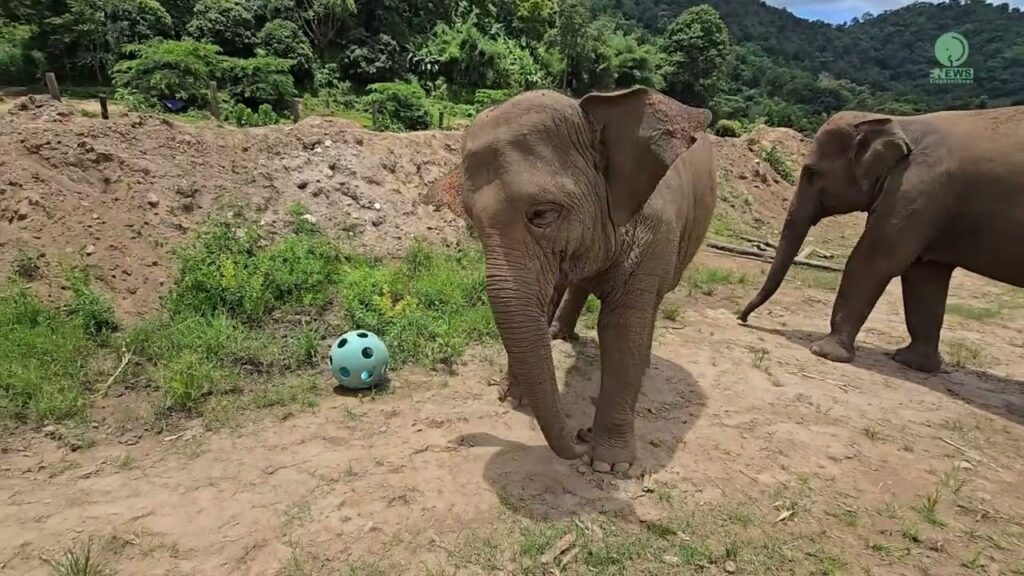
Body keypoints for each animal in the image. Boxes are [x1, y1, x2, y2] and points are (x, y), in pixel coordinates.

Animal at [427, 87, 717, 472]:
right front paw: (512, 397)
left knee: (652, 305)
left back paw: (643, 367)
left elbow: (621, 328)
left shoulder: (656, 233)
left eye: (542, 214)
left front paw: (609, 465)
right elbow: (542, 301)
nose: (582, 435)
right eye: (471, 220)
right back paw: (558, 334)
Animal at [739, 106, 1024, 372]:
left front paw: (824, 352)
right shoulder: (926, 205)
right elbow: (924, 276)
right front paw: (912, 363)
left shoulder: (914, 192)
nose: (742, 318)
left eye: (811, 172)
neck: (897, 122)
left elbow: (873, 261)